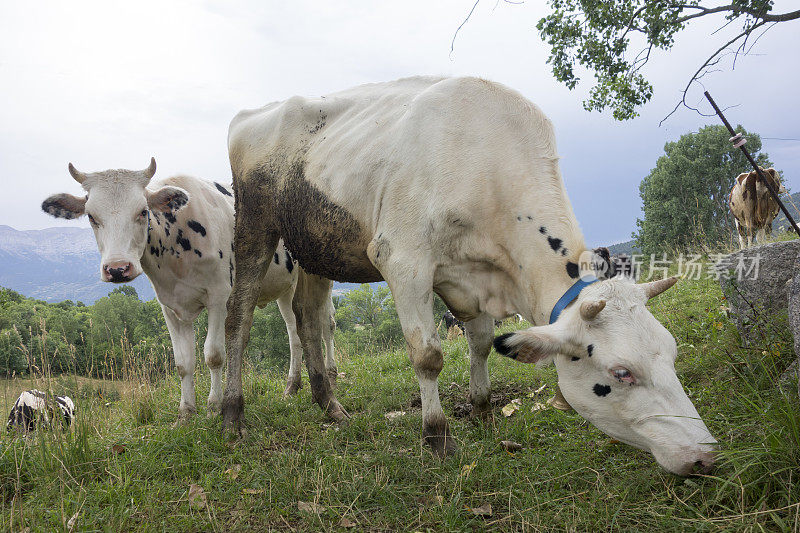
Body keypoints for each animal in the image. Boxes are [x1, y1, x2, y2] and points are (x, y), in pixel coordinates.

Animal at [42, 160, 336, 418]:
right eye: (92, 216)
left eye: (142, 211)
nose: (117, 268)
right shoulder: (169, 305)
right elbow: (183, 362)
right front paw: (185, 412)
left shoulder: (219, 297)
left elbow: (214, 355)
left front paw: (214, 407)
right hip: (286, 288)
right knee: (293, 333)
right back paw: (291, 386)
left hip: (320, 275)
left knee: (326, 323)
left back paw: (331, 374)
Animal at [220, 75, 720, 474]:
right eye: (621, 373)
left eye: (672, 353)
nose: (705, 455)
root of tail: (251, 114)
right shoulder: (403, 259)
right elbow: (427, 355)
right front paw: (437, 436)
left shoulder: (472, 276)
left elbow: (480, 343)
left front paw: (481, 411)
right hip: (255, 227)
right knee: (238, 319)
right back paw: (232, 415)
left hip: (313, 248)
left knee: (307, 317)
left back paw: (331, 407)